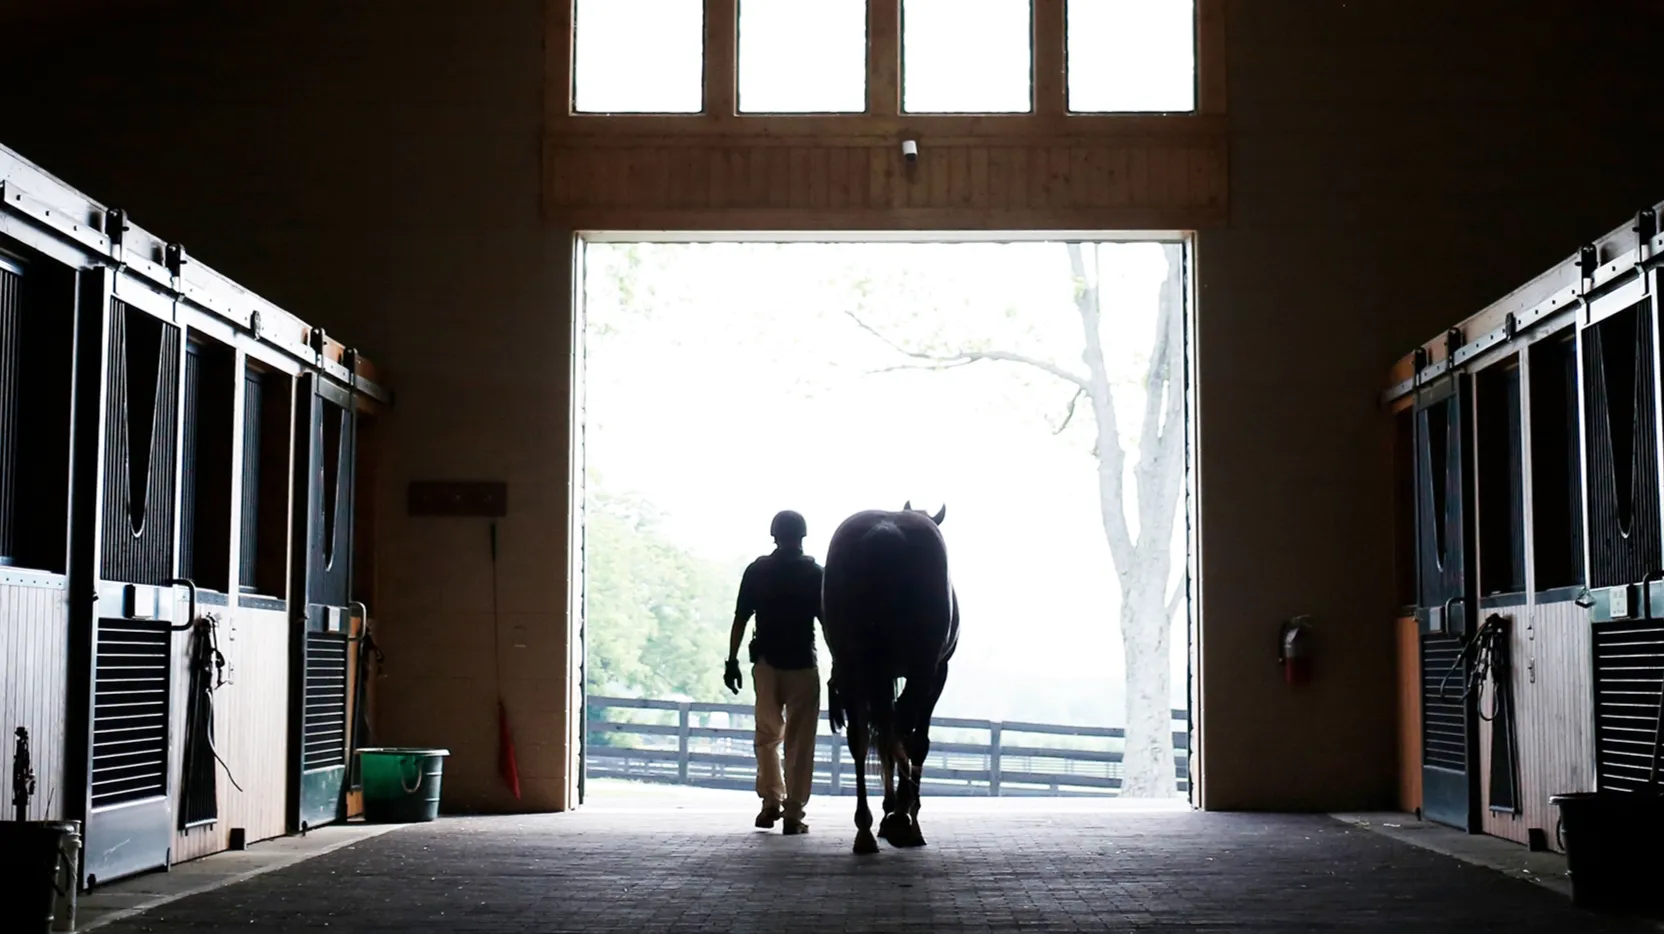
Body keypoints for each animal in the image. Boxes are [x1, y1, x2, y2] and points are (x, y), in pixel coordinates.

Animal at [822, 501, 959, 855]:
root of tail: (884, 535)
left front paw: (889, 811)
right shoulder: (937, 672)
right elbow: (916, 740)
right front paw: (903, 813)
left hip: (853, 665)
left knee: (861, 736)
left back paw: (866, 829)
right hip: (920, 670)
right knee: (903, 729)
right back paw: (900, 819)